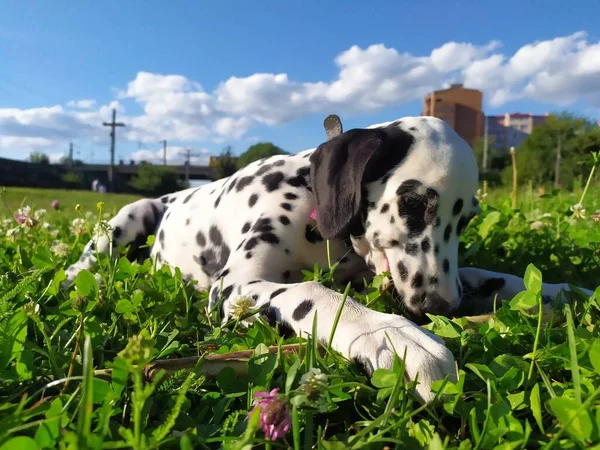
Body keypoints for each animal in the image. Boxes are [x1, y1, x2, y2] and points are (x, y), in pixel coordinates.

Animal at [63, 114, 592, 402]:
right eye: (413, 203)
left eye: (466, 219)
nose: (439, 307)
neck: (310, 201)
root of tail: (170, 196)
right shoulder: (232, 288)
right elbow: (310, 291)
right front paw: (396, 336)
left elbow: (488, 276)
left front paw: (563, 291)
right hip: (127, 220)